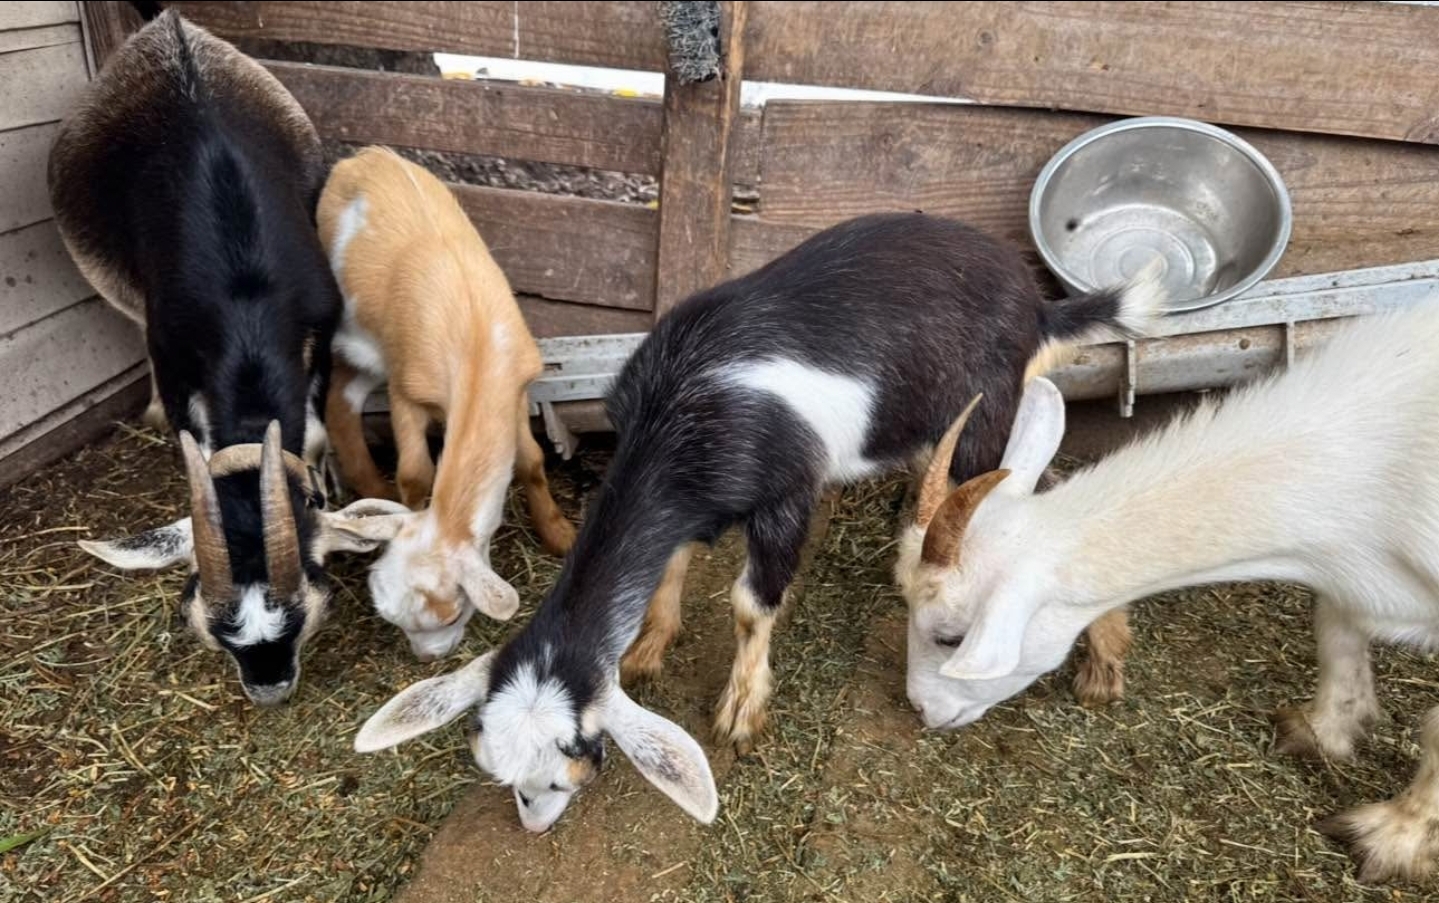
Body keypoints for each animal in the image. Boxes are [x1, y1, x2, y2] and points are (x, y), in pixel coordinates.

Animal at [50, 11, 404, 704]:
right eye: (214, 633)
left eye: (305, 615)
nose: (268, 689)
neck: (242, 292)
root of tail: (167, 26)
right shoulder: (172, 350)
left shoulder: (320, 329)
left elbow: (313, 433)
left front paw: (324, 486)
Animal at [316, 146, 576, 661]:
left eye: (454, 614)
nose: (427, 658)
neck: (474, 352)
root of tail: (364, 156)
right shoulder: (406, 391)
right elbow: (416, 473)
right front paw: (403, 503)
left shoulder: (514, 388)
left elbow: (532, 461)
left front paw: (558, 534)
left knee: (340, 398)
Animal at [351, 212, 1163, 831]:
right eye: (494, 762)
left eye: (571, 765)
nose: (534, 824)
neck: (679, 414)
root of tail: (1036, 302)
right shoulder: (689, 499)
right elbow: (672, 563)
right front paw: (648, 645)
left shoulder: (785, 493)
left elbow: (749, 603)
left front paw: (742, 710)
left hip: (988, 408)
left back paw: (1104, 655)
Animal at [896, 306, 1439, 883]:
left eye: (950, 638)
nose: (922, 708)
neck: (1362, 473)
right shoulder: (1351, 579)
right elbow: (1335, 639)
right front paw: (1321, 731)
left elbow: (1432, 726)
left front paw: (1393, 839)